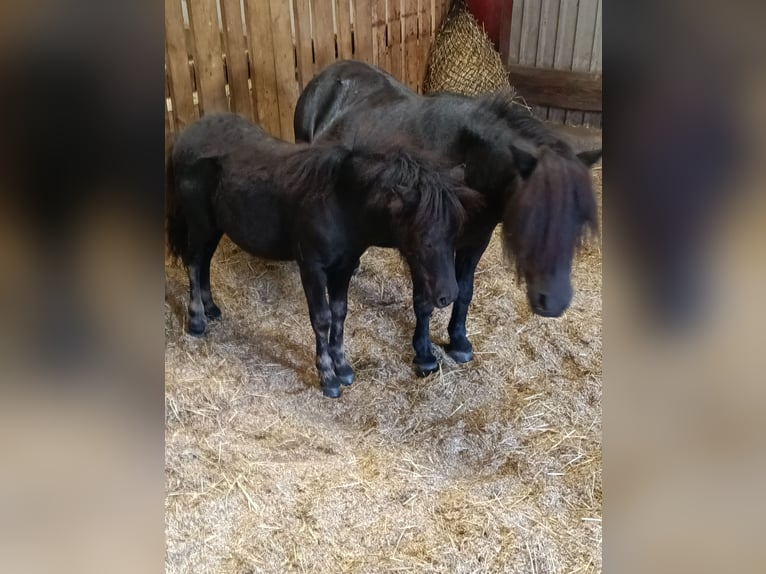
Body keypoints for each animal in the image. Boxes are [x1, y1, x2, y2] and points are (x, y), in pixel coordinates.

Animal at [168, 113, 480, 400]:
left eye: (455, 231)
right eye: (424, 238)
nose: (448, 295)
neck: (340, 202)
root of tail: (186, 137)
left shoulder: (343, 268)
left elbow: (339, 314)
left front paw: (343, 368)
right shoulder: (312, 269)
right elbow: (322, 318)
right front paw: (328, 376)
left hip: (215, 227)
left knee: (205, 262)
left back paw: (211, 308)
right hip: (200, 224)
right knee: (193, 262)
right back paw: (197, 321)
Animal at [296, 59, 604, 378]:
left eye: (580, 219)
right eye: (530, 216)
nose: (553, 302)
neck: (470, 160)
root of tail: (328, 75)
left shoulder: (475, 241)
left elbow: (465, 291)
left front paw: (458, 341)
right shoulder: (422, 245)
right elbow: (424, 301)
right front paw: (424, 354)